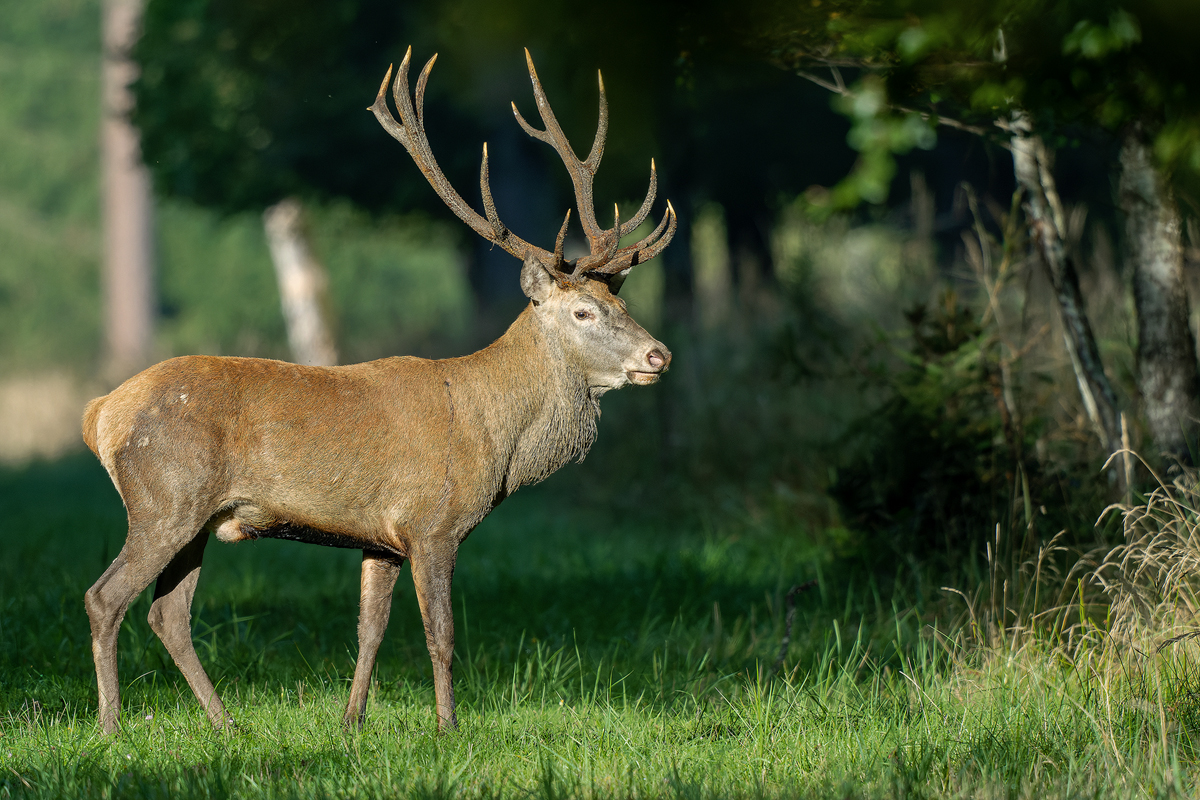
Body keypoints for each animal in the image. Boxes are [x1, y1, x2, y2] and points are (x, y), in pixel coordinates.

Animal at [81, 47, 681, 734]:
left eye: (623, 302)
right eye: (583, 311)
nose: (658, 355)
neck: (498, 442)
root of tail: (100, 414)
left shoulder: (380, 538)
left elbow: (370, 630)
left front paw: (351, 722)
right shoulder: (434, 523)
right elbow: (441, 634)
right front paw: (448, 727)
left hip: (197, 517)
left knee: (168, 613)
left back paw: (226, 723)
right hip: (164, 498)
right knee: (105, 598)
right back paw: (112, 725)